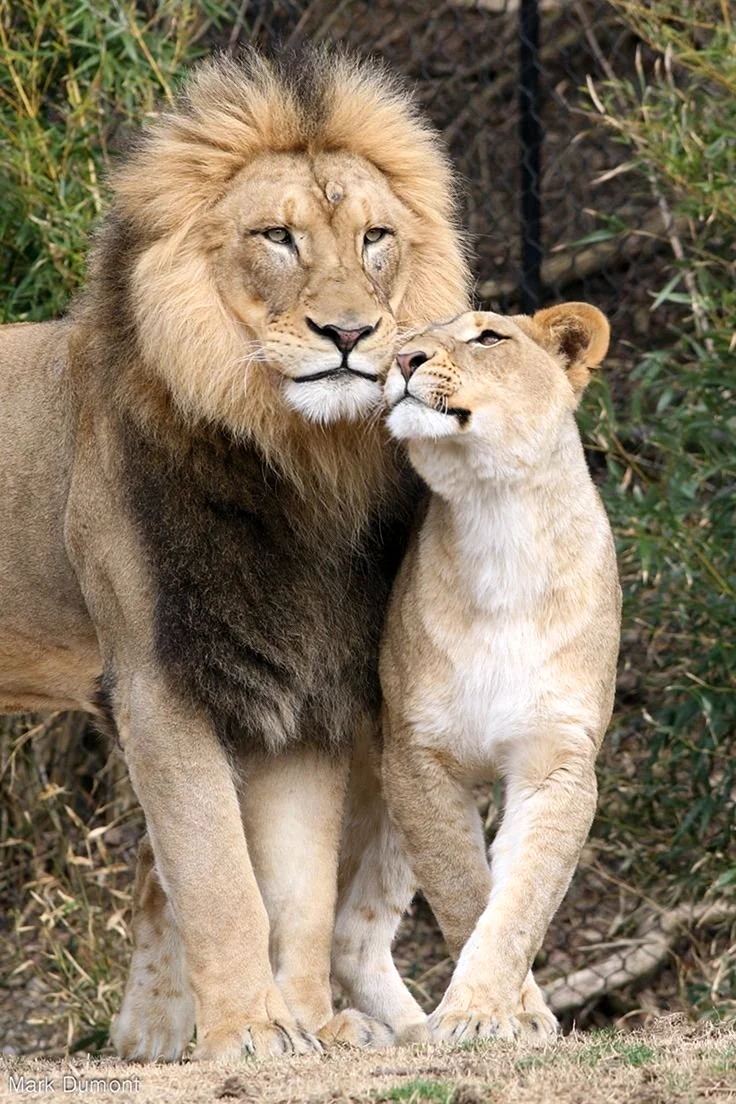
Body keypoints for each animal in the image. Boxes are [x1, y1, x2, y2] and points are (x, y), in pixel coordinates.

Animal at [0, 46, 469, 1062]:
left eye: (375, 237)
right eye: (277, 237)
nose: (351, 333)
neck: (293, 462)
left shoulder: (302, 687)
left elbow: (296, 889)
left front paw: (305, 1025)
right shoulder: (157, 683)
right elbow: (219, 878)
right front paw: (249, 1033)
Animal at [330, 305, 620, 1044]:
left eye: (489, 337)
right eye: (408, 340)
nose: (403, 361)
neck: (500, 522)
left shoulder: (556, 759)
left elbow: (519, 899)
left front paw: (493, 1012)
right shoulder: (419, 758)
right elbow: (467, 892)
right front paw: (484, 1017)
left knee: (351, 936)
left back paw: (401, 1032)